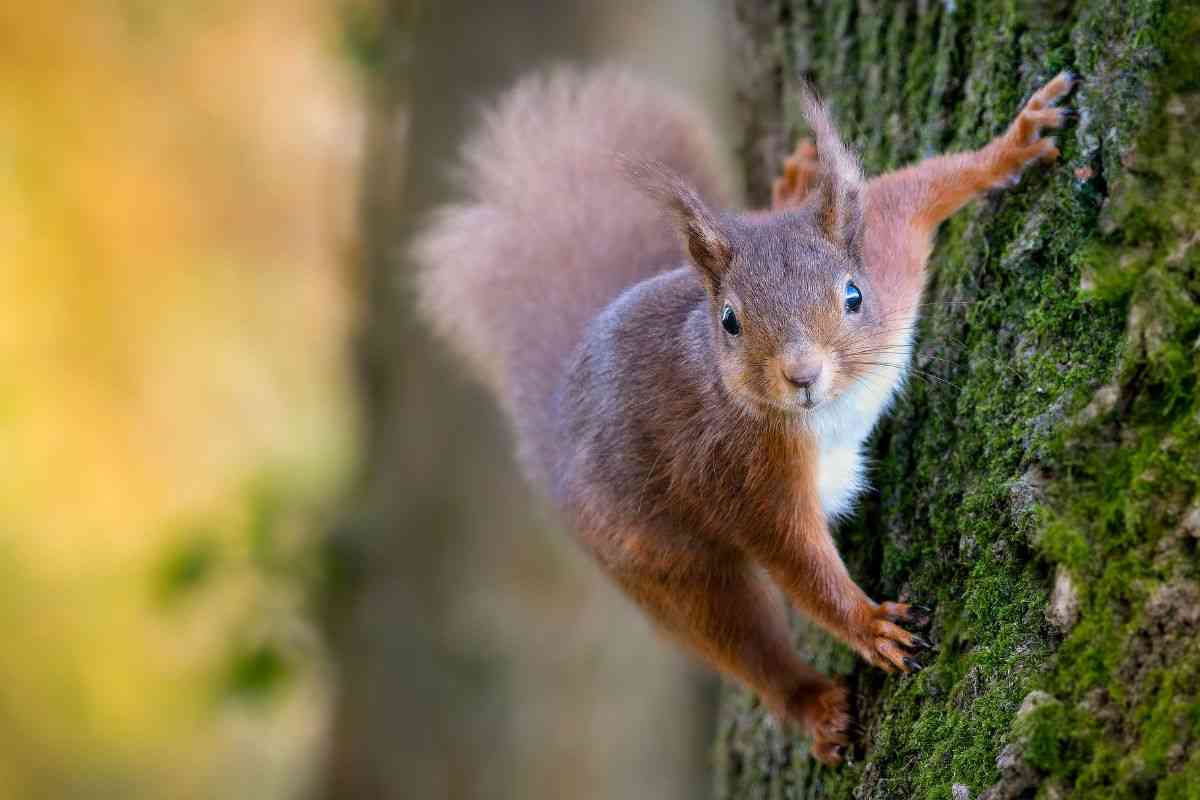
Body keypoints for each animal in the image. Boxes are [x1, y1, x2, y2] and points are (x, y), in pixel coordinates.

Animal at [415, 66, 1074, 764]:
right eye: (730, 321)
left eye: (853, 295)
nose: (803, 375)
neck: (831, 407)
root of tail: (557, 418)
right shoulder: (739, 472)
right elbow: (798, 562)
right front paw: (870, 626)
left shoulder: (888, 246)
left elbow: (923, 184)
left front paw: (1016, 141)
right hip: (660, 563)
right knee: (738, 639)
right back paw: (813, 707)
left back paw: (787, 187)